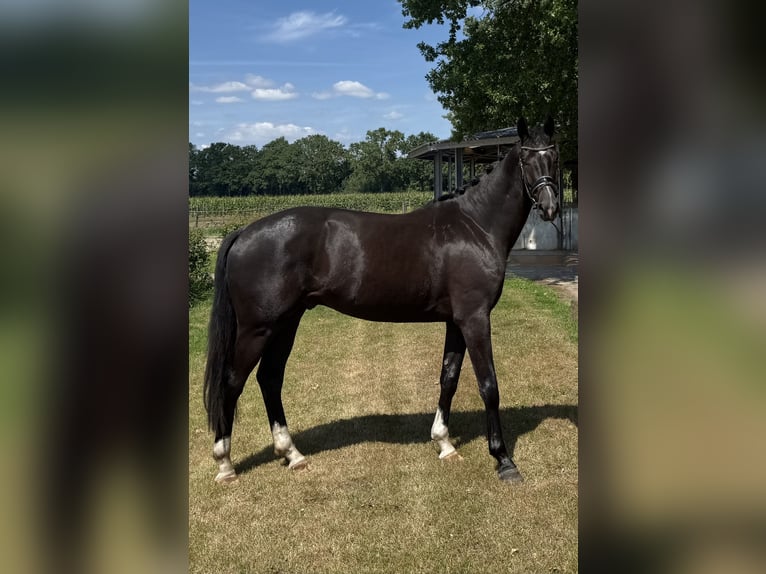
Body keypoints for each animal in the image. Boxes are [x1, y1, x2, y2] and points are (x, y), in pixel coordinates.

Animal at [203, 117, 560, 483]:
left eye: (554, 157)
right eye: (527, 159)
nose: (550, 207)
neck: (474, 225)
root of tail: (243, 232)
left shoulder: (457, 320)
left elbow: (448, 377)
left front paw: (444, 443)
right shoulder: (475, 318)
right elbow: (488, 384)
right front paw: (503, 460)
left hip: (286, 323)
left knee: (270, 379)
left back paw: (292, 454)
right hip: (257, 329)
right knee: (232, 382)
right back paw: (225, 463)